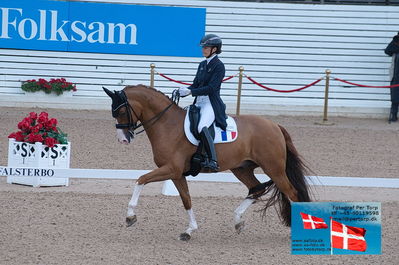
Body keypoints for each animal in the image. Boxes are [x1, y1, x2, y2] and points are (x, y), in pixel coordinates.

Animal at [103, 84, 312, 239]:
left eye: (121, 111)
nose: (123, 140)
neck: (167, 124)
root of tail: (274, 125)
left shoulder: (171, 169)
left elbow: (141, 179)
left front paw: (130, 216)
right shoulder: (177, 174)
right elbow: (186, 199)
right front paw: (189, 231)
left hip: (274, 168)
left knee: (292, 193)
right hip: (242, 168)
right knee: (257, 189)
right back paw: (238, 221)